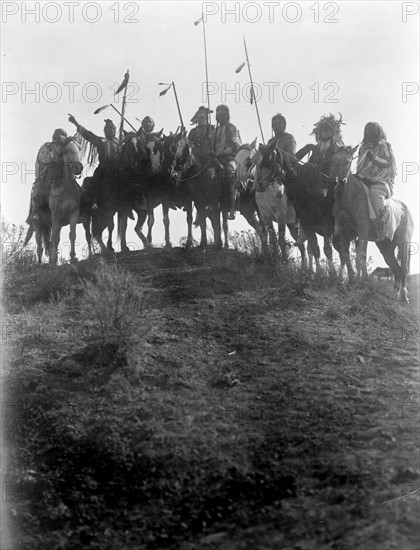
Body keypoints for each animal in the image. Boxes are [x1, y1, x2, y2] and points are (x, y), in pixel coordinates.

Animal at [334, 167, 416, 306]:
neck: (347, 191)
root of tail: (405, 210)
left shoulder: (362, 230)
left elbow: (360, 256)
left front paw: (361, 281)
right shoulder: (345, 231)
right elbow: (345, 255)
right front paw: (347, 280)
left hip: (403, 243)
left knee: (404, 268)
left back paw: (404, 295)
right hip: (386, 248)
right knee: (396, 269)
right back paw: (398, 295)